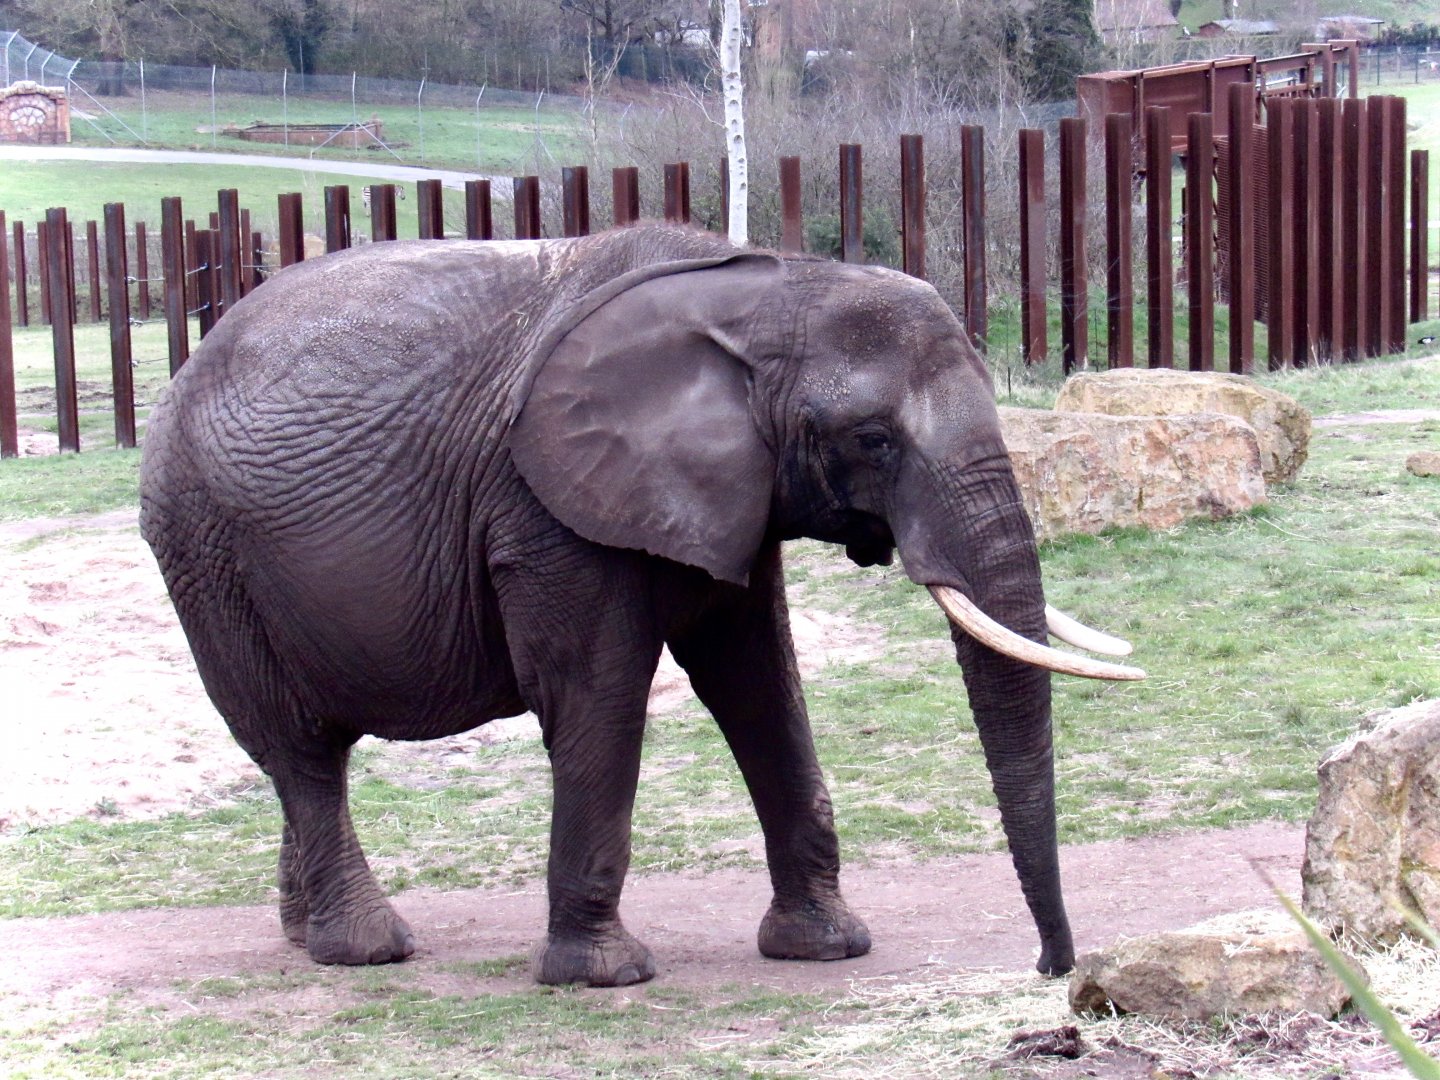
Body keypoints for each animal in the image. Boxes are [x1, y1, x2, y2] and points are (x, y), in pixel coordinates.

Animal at [140, 224, 1143, 988]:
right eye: (873, 439)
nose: (1052, 968)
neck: (761, 288)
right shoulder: (545, 506)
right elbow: (599, 694)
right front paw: (603, 976)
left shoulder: (730, 496)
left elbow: (758, 685)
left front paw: (825, 949)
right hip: (203, 551)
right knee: (299, 750)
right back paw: (366, 950)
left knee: (310, 756)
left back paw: (300, 935)